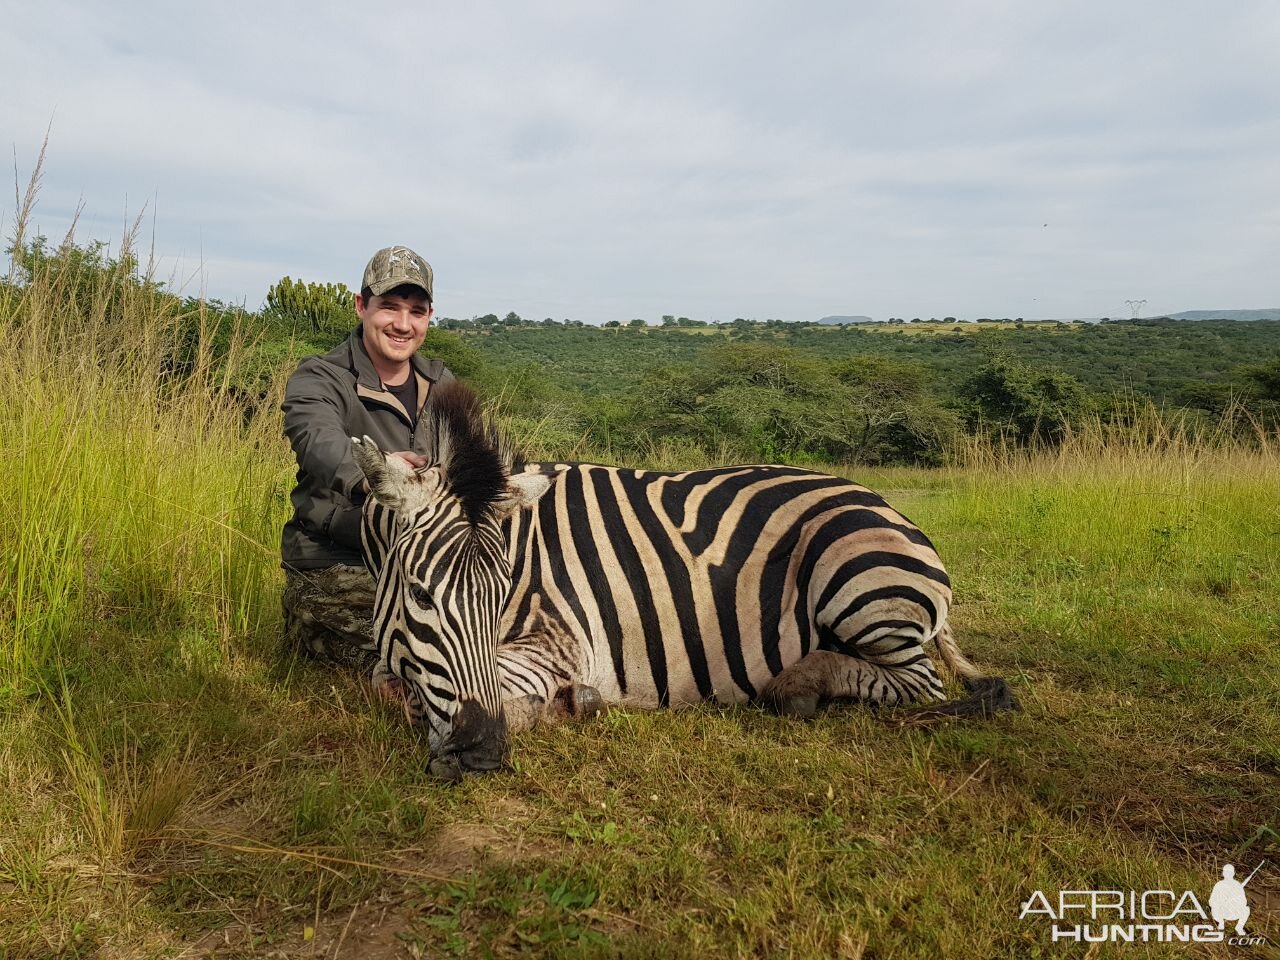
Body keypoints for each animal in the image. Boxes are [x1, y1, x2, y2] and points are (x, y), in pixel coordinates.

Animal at [353, 378, 1018, 778]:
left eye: (499, 598)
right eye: (420, 594)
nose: (483, 752)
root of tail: (891, 510)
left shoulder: (561, 644)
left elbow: (418, 696)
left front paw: (566, 705)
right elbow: (391, 683)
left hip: (856, 575)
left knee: (922, 685)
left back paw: (798, 686)